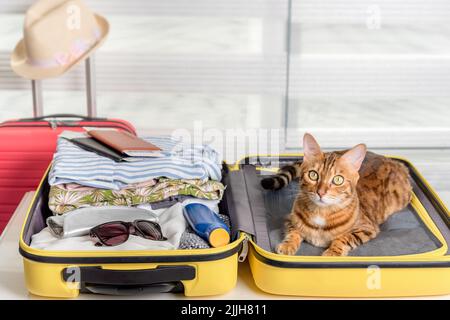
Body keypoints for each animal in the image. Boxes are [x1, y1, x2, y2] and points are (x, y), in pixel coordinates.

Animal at [262, 134, 414, 256]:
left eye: (338, 180)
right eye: (313, 175)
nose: (321, 192)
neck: (321, 213)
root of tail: (390, 159)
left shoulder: (367, 228)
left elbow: (345, 238)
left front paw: (333, 252)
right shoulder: (290, 219)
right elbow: (293, 232)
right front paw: (288, 245)